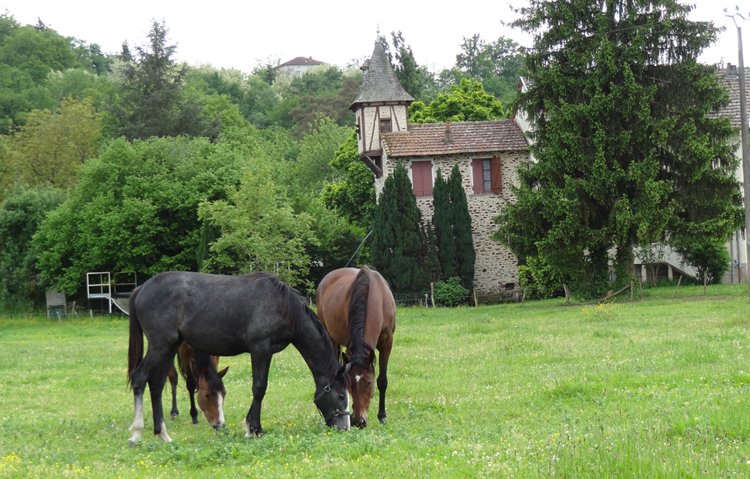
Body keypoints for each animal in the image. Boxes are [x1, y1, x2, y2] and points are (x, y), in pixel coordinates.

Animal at [127, 271, 350, 445]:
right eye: (341, 396)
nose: (345, 428)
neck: (282, 306)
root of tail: (141, 289)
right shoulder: (260, 349)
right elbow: (259, 388)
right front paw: (254, 429)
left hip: (170, 347)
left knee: (156, 384)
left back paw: (163, 434)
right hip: (160, 345)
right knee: (139, 378)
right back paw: (136, 433)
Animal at [316, 266, 396, 428]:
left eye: (369, 382)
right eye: (349, 383)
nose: (359, 421)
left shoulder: (387, 343)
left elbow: (382, 381)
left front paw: (382, 416)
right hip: (331, 338)